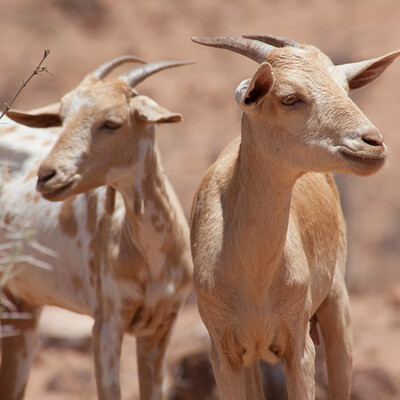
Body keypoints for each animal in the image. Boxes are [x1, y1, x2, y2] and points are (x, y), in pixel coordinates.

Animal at [0, 57, 194, 400]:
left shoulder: (160, 327)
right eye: (62, 118)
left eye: (112, 123)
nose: (47, 176)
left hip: (22, 307)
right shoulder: (107, 323)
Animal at [191, 35, 400, 400]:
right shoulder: (223, 353)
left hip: (336, 306)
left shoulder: (299, 347)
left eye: (345, 88)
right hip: (253, 359)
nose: (373, 143)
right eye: (289, 98)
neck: (252, 277)